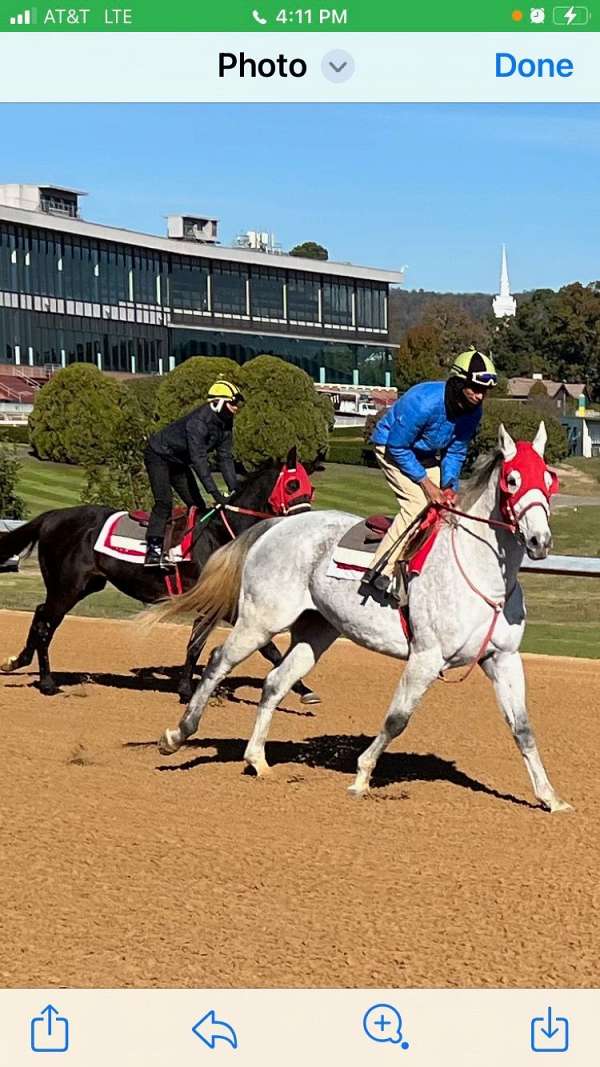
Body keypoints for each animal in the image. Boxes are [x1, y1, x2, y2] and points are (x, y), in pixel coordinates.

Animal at [0, 448, 318, 704]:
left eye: (311, 488)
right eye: (292, 484)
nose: (308, 520)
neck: (221, 535)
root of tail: (52, 516)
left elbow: (204, 645)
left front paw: (303, 688)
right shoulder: (220, 604)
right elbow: (258, 647)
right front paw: (187, 691)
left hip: (84, 584)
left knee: (41, 614)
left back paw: (18, 661)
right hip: (67, 586)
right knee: (46, 623)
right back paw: (46, 682)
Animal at [150, 424, 567, 815]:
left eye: (550, 480)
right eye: (512, 480)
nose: (540, 541)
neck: (480, 573)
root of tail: (277, 525)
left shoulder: (502, 658)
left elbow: (522, 728)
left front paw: (550, 797)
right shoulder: (426, 658)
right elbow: (397, 719)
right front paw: (362, 776)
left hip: (316, 632)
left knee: (274, 683)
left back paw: (257, 759)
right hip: (260, 621)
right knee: (218, 660)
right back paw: (178, 735)